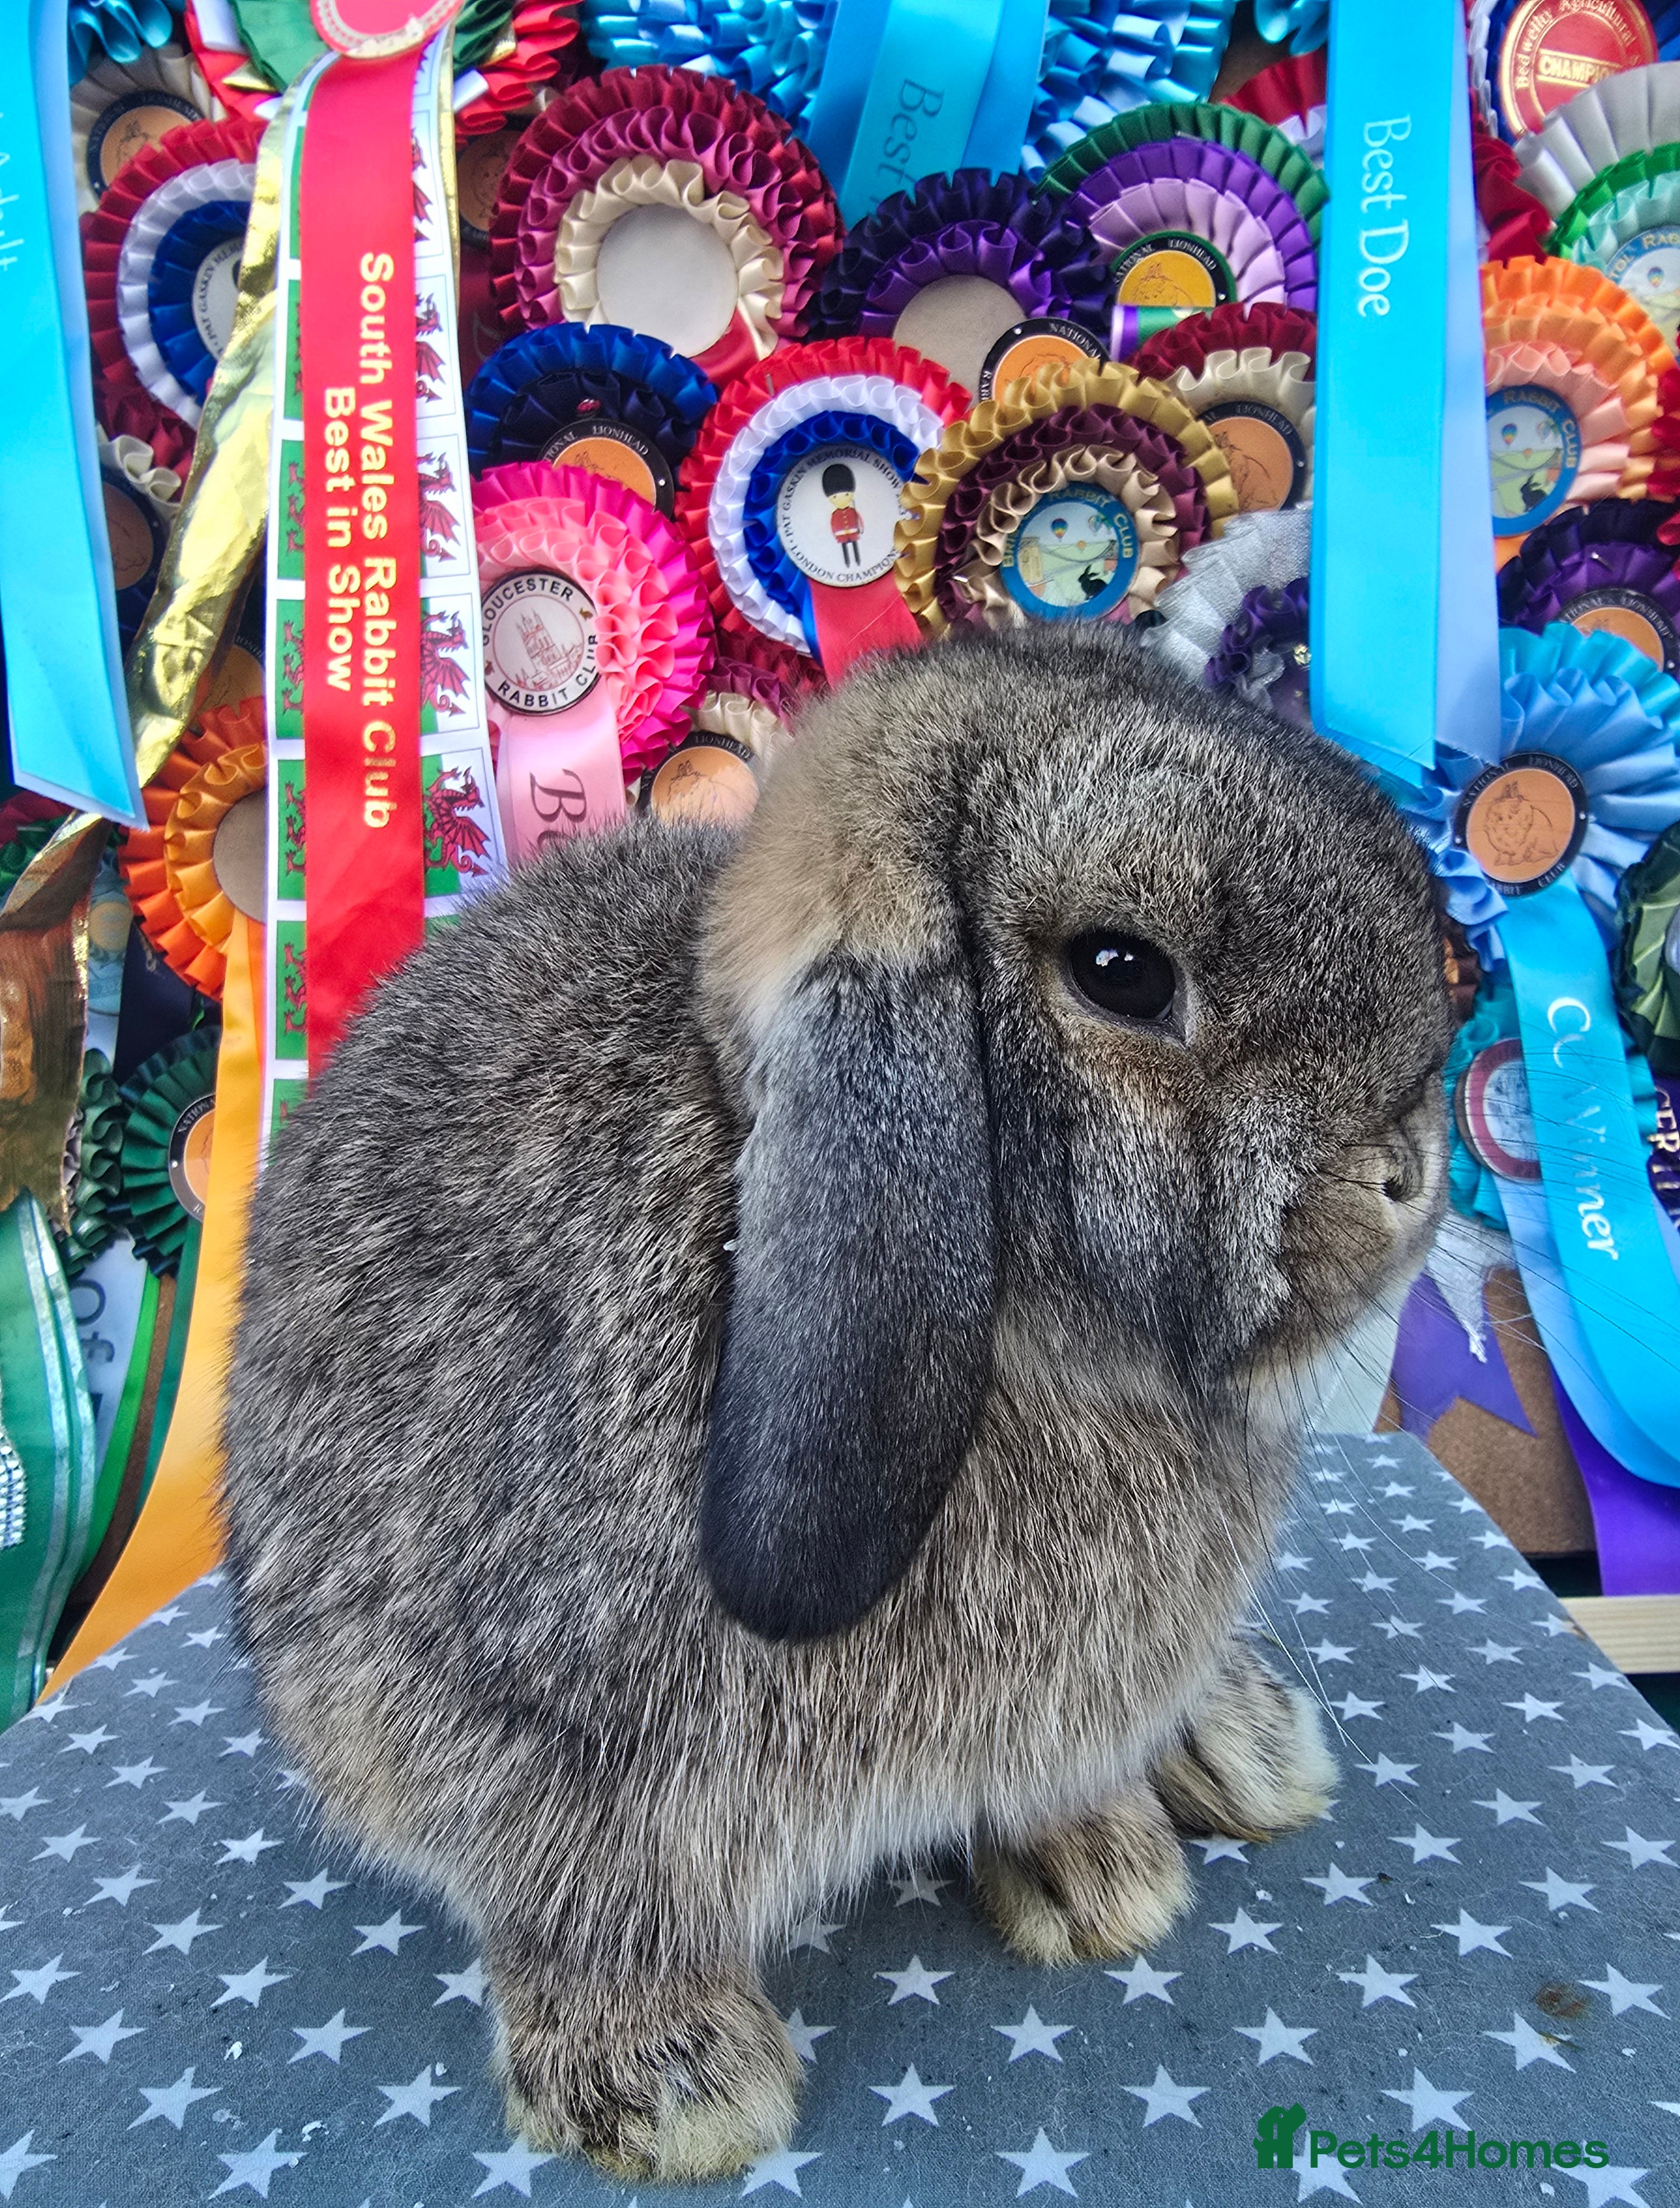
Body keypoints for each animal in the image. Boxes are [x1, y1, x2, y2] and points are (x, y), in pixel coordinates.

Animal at [220, 621, 1452, 2185]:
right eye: (1120, 973)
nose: (1407, 1175)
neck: (1022, 1341)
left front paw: (1103, 1877)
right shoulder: (526, 1743)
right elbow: (580, 1896)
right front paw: (670, 2084)